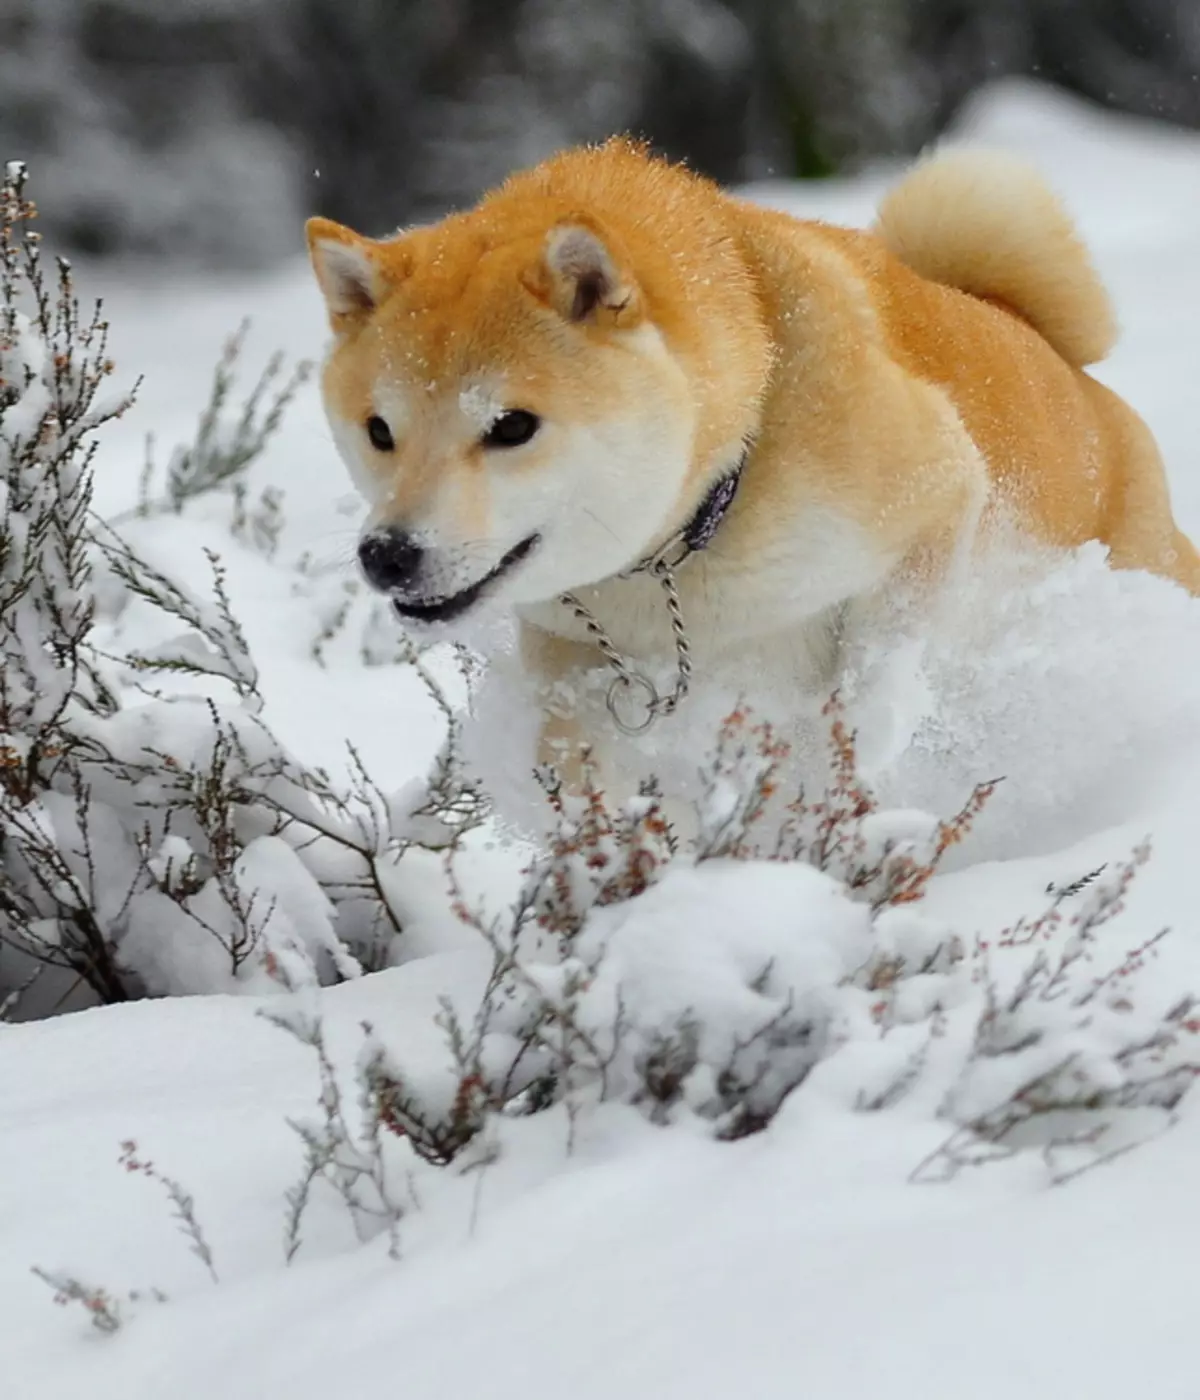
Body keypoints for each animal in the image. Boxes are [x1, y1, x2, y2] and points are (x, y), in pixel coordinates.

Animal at [302, 137, 1198, 772]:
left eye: (511, 426)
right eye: (380, 431)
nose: (388, 554)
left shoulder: (939, 494)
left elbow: (874, 666)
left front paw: (856, 749)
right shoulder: (572, 649)